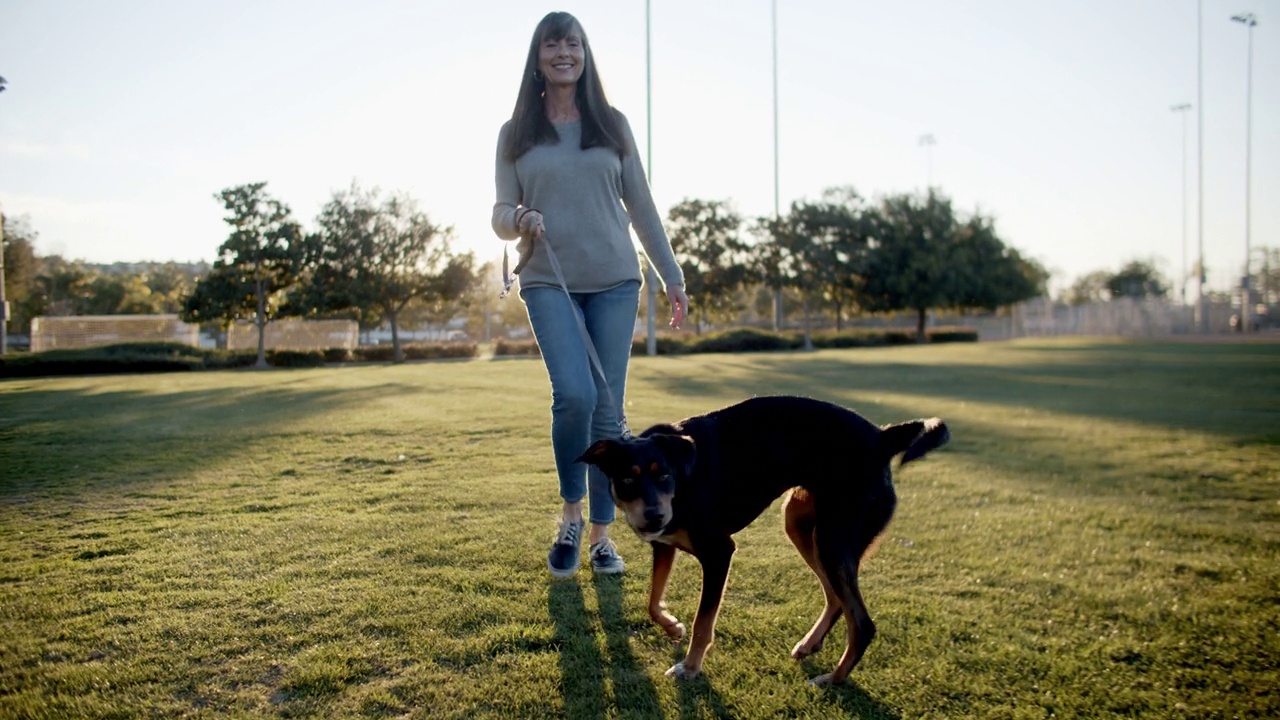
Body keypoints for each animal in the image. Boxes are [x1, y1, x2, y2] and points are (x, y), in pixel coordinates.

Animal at [581, 394, 952, 681]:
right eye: (627, 480)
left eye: (664, 475)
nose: (655, 516)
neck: (684, 478)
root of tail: (882, 437)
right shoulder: (663, 545)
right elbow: (652, 600)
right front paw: (672, 627)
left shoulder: (719, 553)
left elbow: (703, 623)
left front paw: (690, 667)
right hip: (803, 526)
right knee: (836, 599)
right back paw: (811, 646)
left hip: (833, 541)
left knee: (862, 623)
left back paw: (832, 680)